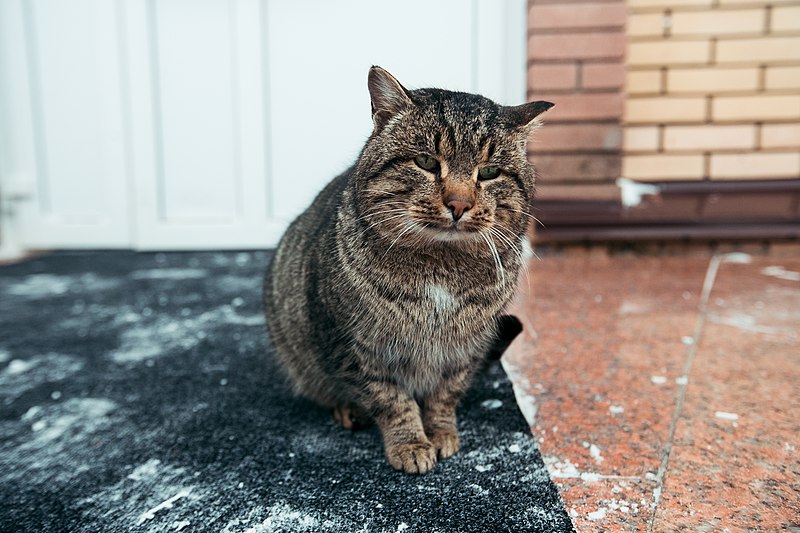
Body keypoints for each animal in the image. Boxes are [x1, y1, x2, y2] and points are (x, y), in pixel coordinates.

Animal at [262, 67, 552, 474]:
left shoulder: (465, 351)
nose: (459, 204)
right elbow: (391, 401)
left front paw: (442, 433)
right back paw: (348, 410)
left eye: (489, 172)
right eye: (427, 163)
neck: (442, 269)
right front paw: (411, 444)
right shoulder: (357, 349)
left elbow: (445, 396)